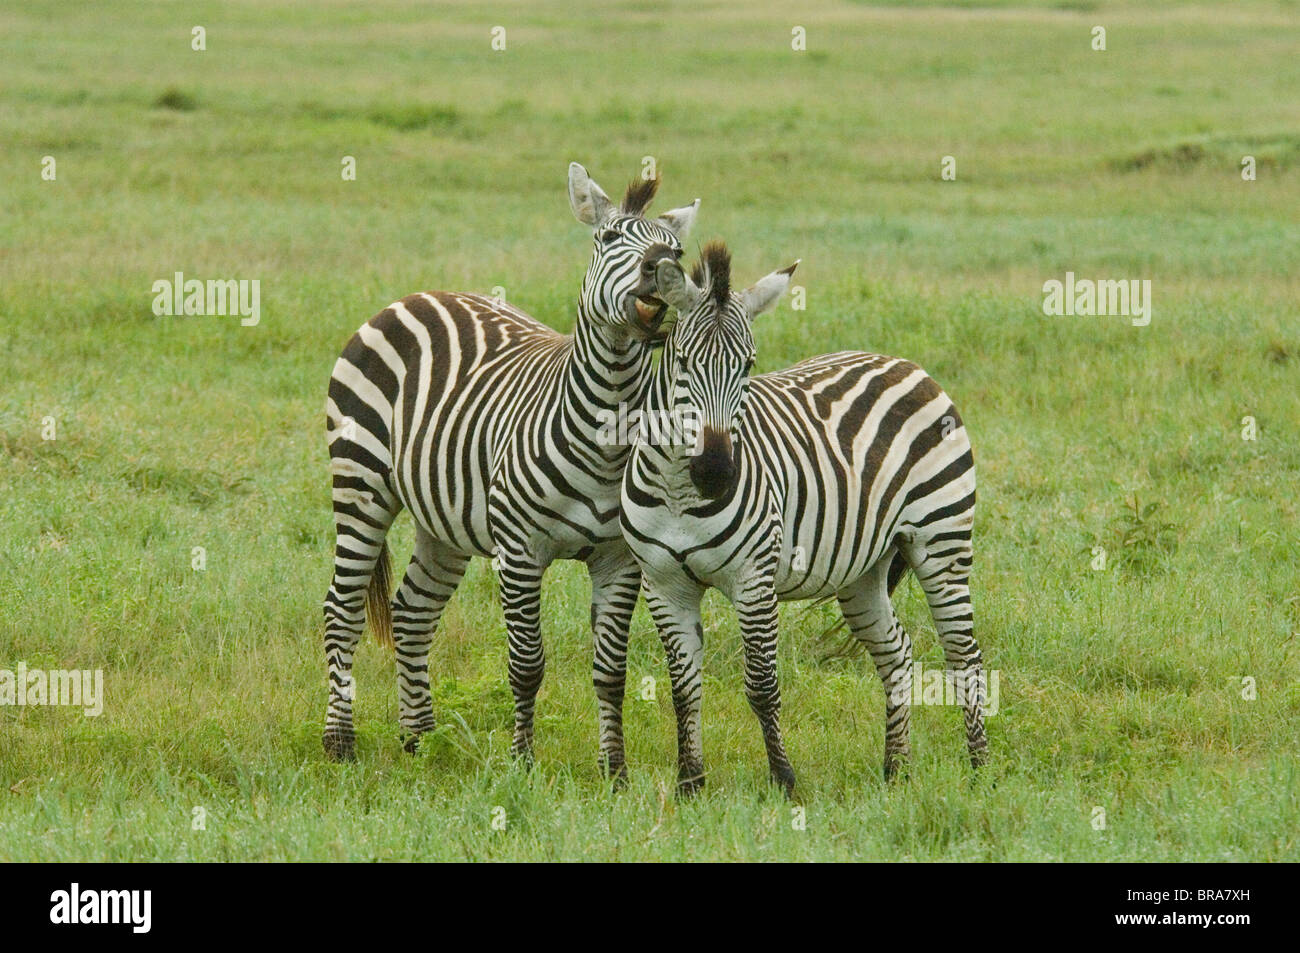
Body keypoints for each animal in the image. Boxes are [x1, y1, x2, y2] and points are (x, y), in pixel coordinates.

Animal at [323, 163, 702, 774]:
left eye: (677, 250)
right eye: (609, 238)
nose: (660, 268)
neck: (605, 434)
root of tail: (418, 295)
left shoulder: (619, 560)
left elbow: (610, 671)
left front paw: (613, 771)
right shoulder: (521, 552)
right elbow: (527, 665)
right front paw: (522, 763)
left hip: (443, 520)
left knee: (410, 612)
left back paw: (419, 739)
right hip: (360, 484)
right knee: (342, 609)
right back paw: (340, 742)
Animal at [618, 241, 982, 790]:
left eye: (748, 365)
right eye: (681, 361)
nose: (716, 472)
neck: (679, 491)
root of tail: (906, 364)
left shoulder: (754, 580)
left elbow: (762, 685)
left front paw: (784, 779)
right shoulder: (664, 584)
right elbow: (683, 686)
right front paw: (690, 784)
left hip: (943, 539)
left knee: (964, 655)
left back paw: (982, 770)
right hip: (863, 569)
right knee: (897, 652)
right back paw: (896, 768)